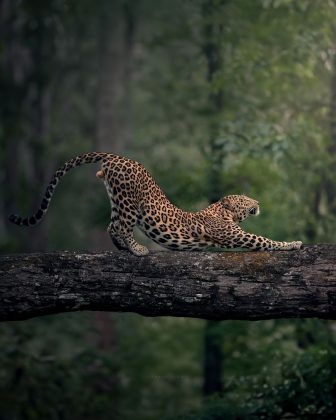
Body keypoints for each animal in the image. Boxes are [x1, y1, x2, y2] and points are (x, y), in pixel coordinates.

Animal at [7, 152, 304, 254]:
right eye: (243, 200)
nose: (257, 202)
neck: (222, 212)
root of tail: (114, 157)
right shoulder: (235, 236)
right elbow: (264, 240)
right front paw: (293, 244)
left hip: (117, 198)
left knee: (111, 226)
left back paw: (123, 248)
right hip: (128, 201)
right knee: (121, 227)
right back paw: (138, 249)